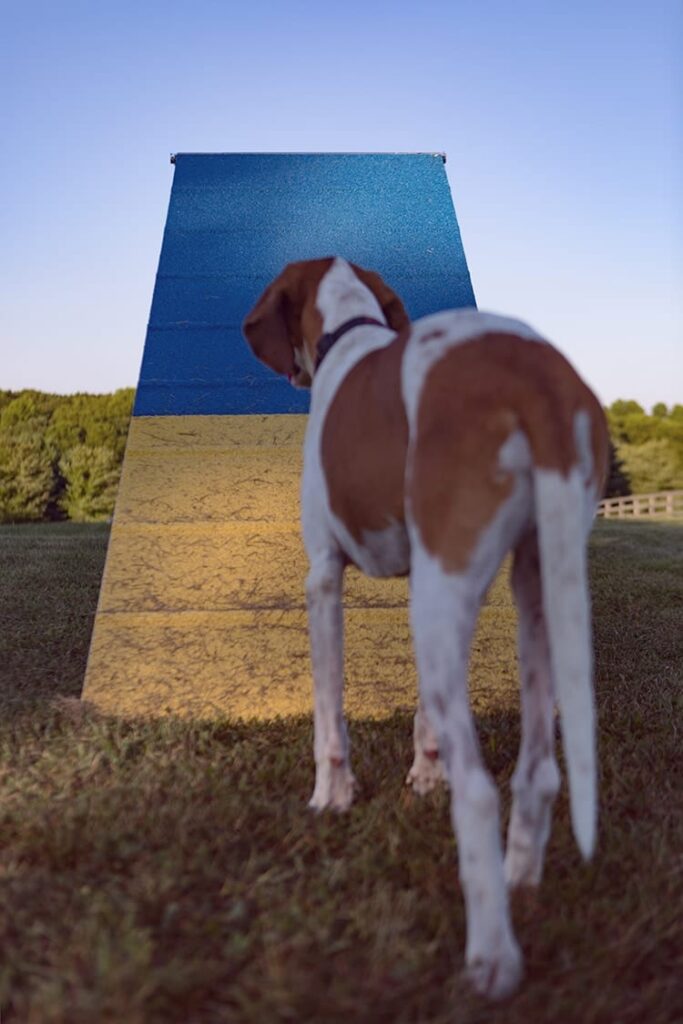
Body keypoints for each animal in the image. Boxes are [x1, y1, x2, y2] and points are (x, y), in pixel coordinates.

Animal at [241, 256, 610, 999]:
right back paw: (518, 883)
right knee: (537, 773)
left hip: (447, 599)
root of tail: (536, 370)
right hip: (530, 589)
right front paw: (423, 773)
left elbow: (329, 720)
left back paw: (491, 956)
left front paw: (331, 799)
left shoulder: (323, 578)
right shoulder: (420, 573)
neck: (351, 330)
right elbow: (425, 714)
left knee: (481, 792)